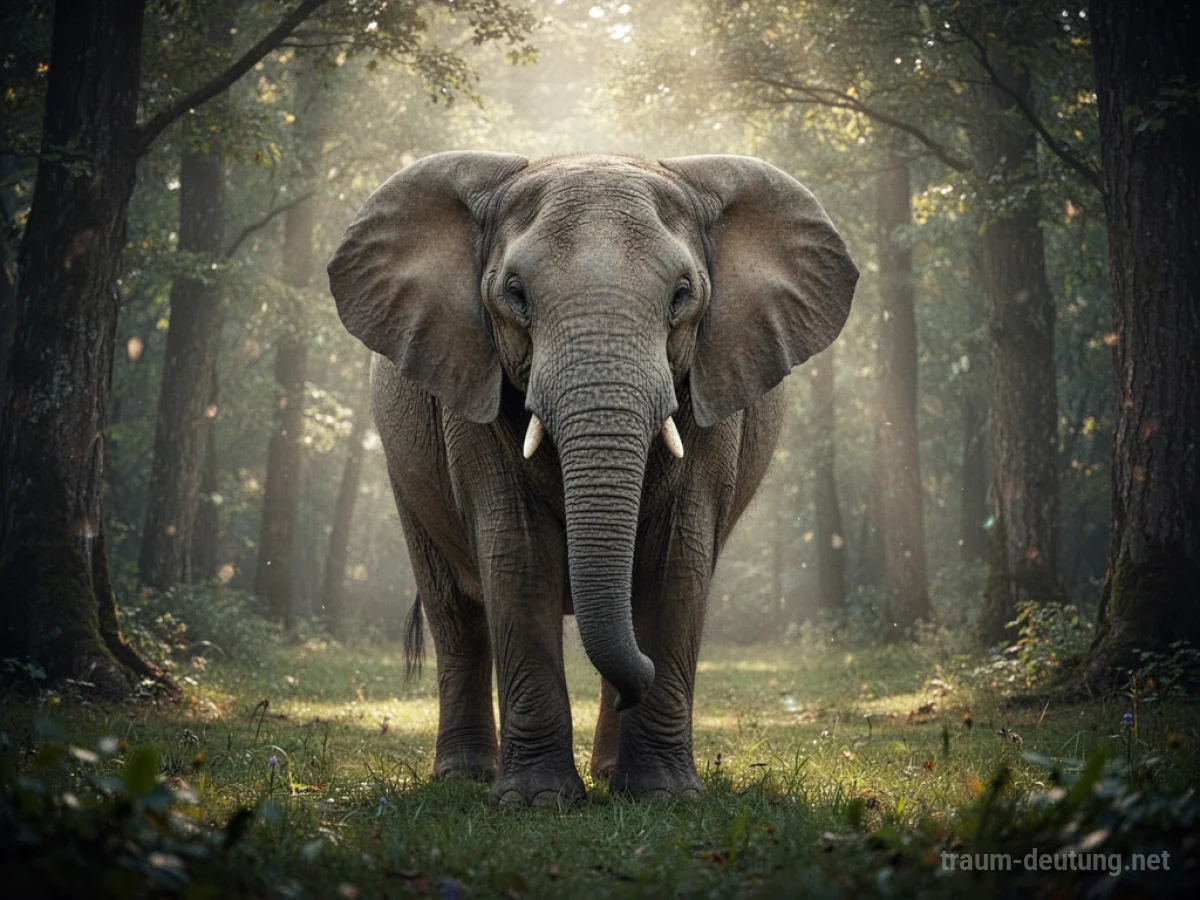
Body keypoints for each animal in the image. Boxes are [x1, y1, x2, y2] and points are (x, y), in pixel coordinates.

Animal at [327, 152, 858, 804]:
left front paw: (663, 798)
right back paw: (464, 776)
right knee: (454, 613)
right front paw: (536, 803)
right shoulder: (469, 388)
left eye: (683, 294)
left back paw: (606, 773)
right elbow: (519, 554)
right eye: (515, 292)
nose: (641, 681)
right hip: (404, 468)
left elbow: (675, 561)